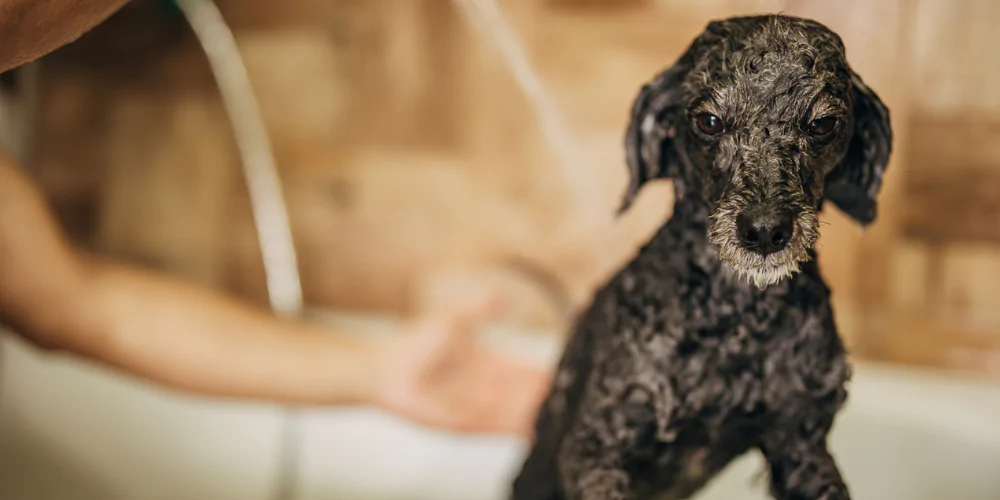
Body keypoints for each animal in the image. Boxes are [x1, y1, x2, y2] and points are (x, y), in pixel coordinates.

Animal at [512, 13, 896, 498]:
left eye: (822, 123)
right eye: (710, 121)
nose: (765, 230)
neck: (737, 318)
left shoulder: (801, 444)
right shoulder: (598, 443)